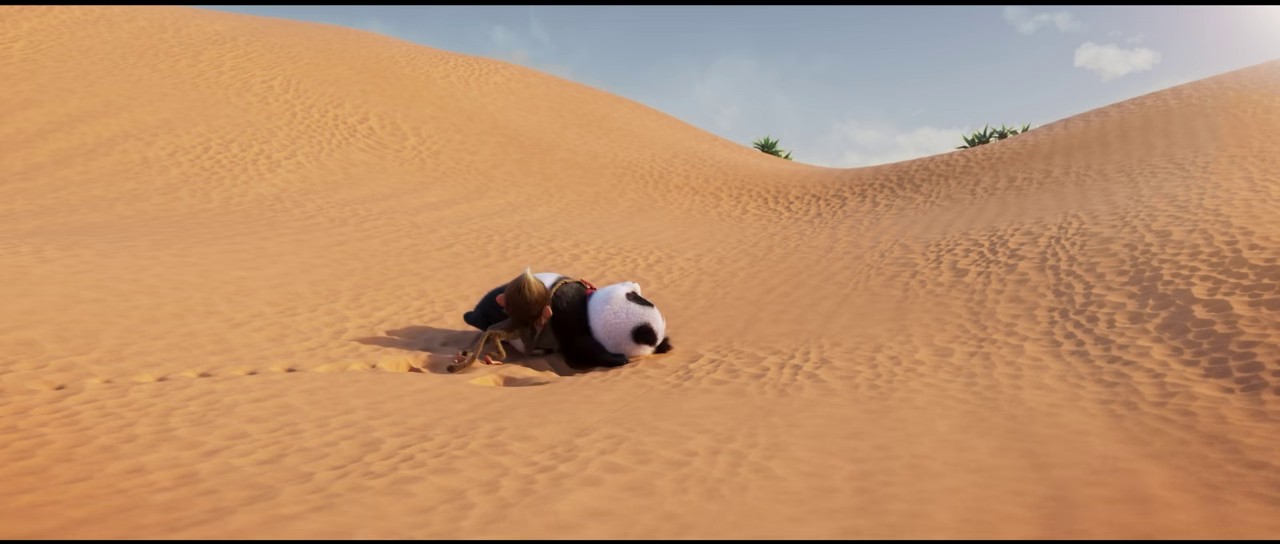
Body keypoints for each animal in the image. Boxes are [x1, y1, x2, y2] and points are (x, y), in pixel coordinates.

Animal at [461, 272, 673, 369]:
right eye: (637, 296)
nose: (634, 282)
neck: (589, 314)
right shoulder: (566, 308)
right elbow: (579, 349)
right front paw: (618, 358)